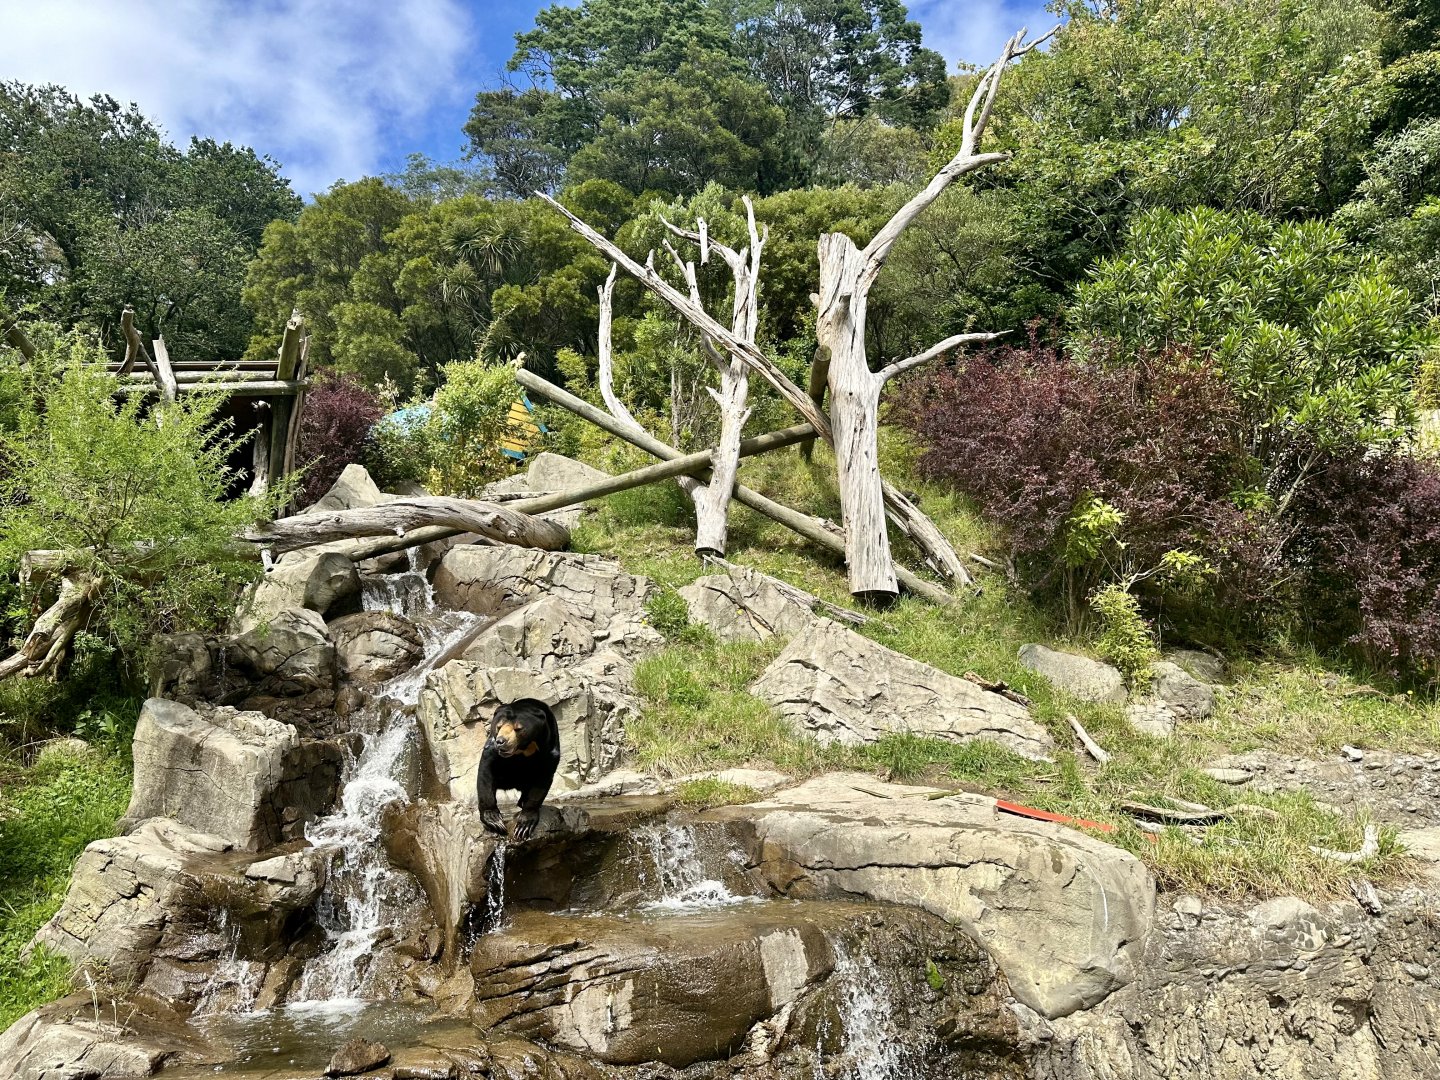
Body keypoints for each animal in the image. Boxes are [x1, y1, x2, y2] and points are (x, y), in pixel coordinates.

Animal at [476, 697, 561, 842]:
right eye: (499, 727)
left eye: (518, 728)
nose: (501, 741)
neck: (523, 749)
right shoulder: (492, 748)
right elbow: (486, 771)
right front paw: (494, 820)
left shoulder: (550, 748)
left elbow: (542, 779)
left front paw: (524, 825)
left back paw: (522, 802)